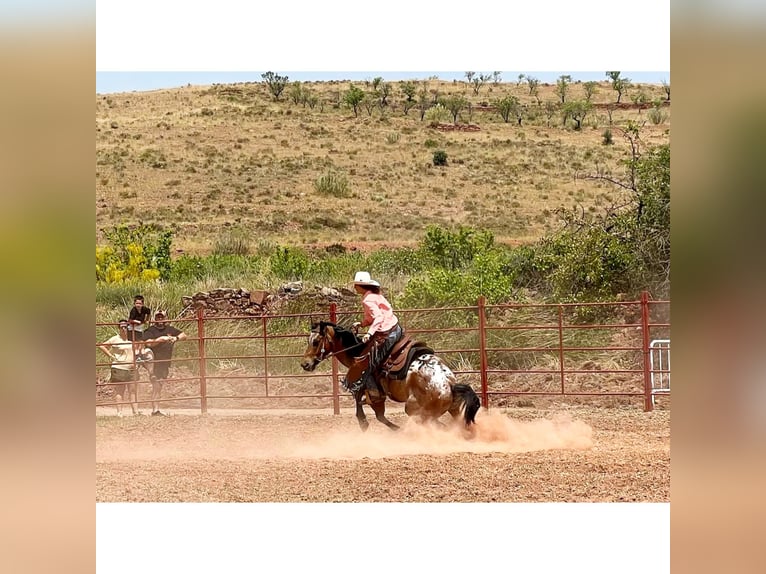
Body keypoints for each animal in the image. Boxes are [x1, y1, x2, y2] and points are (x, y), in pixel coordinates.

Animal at [300, 320, 480, 432]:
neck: (359, 352)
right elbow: (379, 416)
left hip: (414, 408)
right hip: (453, 409)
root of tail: (449, 384)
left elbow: (361, 402)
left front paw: (363, 422)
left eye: (315, 342)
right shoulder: (376, 396)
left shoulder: (370, 390)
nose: (305, 364)